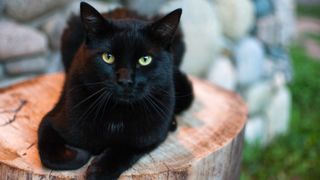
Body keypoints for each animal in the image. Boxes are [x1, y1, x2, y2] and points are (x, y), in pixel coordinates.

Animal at [37, 1, 192, 179]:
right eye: (108, 57)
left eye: (145, 60)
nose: (125, 81)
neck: (117, 113)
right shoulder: (50, 121)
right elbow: (49, 156)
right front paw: (83, 153)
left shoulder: (153, 134)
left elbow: (127, 148)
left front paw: (99, 170)